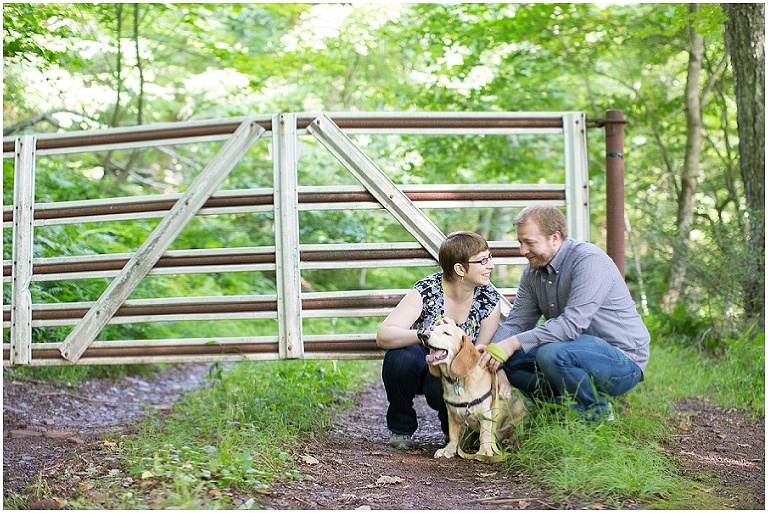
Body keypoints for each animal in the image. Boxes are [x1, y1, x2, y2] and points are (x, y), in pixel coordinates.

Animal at [424, 322, 524, 458]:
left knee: (514, 432)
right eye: (432, 329)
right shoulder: (452, 414)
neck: (458, 380)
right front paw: (449, 449)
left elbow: (484, 433)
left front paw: (484, 451)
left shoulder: (485, 414)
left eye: (446, 333)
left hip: (518, 419)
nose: (423, 335)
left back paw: (509, 440)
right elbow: (453, 434)